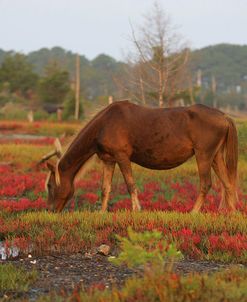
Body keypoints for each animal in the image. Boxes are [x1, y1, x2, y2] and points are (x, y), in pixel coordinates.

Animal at [45, 101, 238, 212]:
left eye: (49, 185)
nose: (50, 210)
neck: (104, 124)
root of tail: (224, 116)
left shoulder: (122, 157)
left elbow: (130, 185)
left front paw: (136, 209)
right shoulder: (109, 160)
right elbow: (105, 188)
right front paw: (102, 213)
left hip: (203, 156)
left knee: (206, 184)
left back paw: (193, 213)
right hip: (215, 157)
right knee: (228, 184)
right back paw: (231, 213)